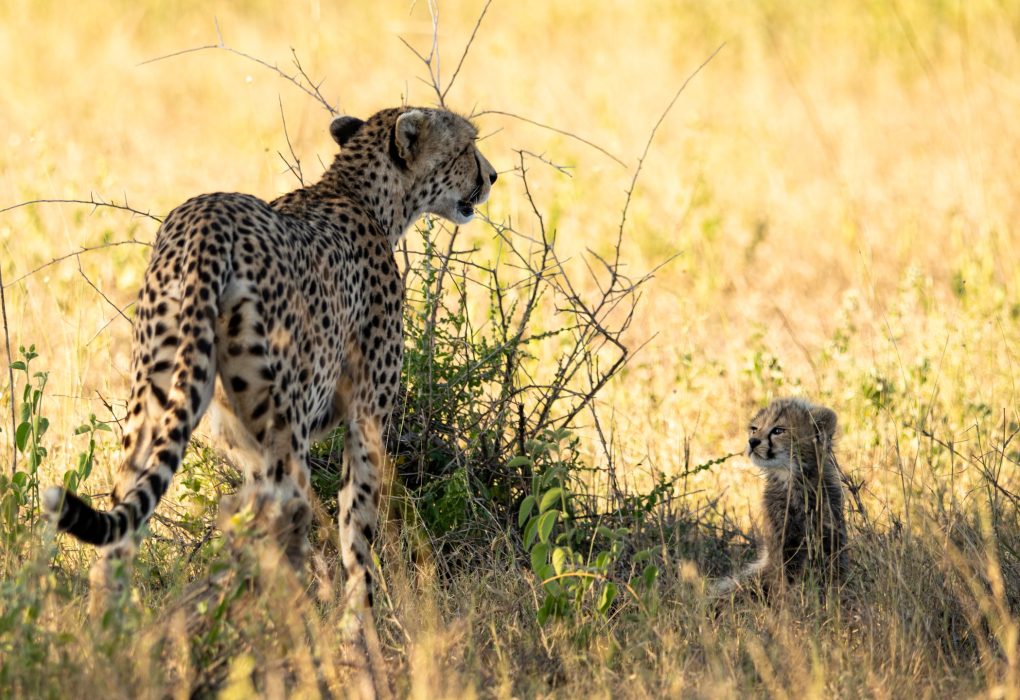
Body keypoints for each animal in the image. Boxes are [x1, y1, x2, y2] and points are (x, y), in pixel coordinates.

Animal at [42, 105, 496, 695]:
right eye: (466, 147)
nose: (492, 177)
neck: (364, 193)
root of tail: (206, 221)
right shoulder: (365, 421)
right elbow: (358, 537)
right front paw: (358, 641)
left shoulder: (245, 441)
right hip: (283, 428)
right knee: (279, 522)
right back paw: (273, 640)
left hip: (159, 395)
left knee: (131, 522)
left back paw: (118, 645)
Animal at [712, 397, 848, 598]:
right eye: (754, 428)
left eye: (778, 431)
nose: (752, 441)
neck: (792, 479)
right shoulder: (783, 544)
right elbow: (785, 581)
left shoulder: (829, 536)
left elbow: (834, 573)